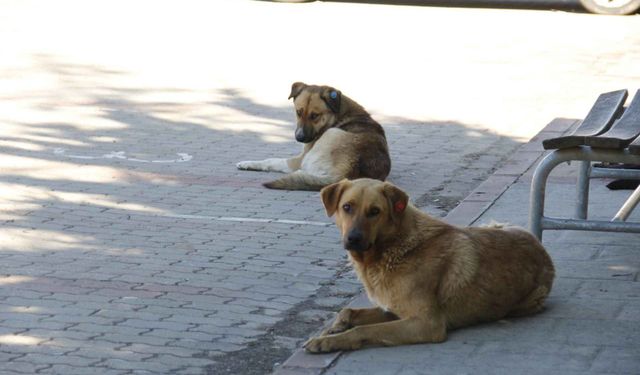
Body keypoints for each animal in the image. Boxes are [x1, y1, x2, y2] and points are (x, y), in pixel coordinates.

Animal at [236, 83, 390, 192]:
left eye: (315, 116)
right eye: (298, 112)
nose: (299, 137)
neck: (338, 115)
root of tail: (346, 174)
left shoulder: (298, 159)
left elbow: (271, 160)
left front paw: (247, 163)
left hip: (329, 136)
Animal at [302, 178, 552, 354]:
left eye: (375, 211)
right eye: (347, 207)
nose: (353, 239)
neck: (394, 247)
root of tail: (541, 249)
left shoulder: (426, 323)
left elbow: (364, 329)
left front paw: (330, 341)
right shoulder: (391, 309)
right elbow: (349, 311)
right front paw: (334, 329)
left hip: (529, 300)